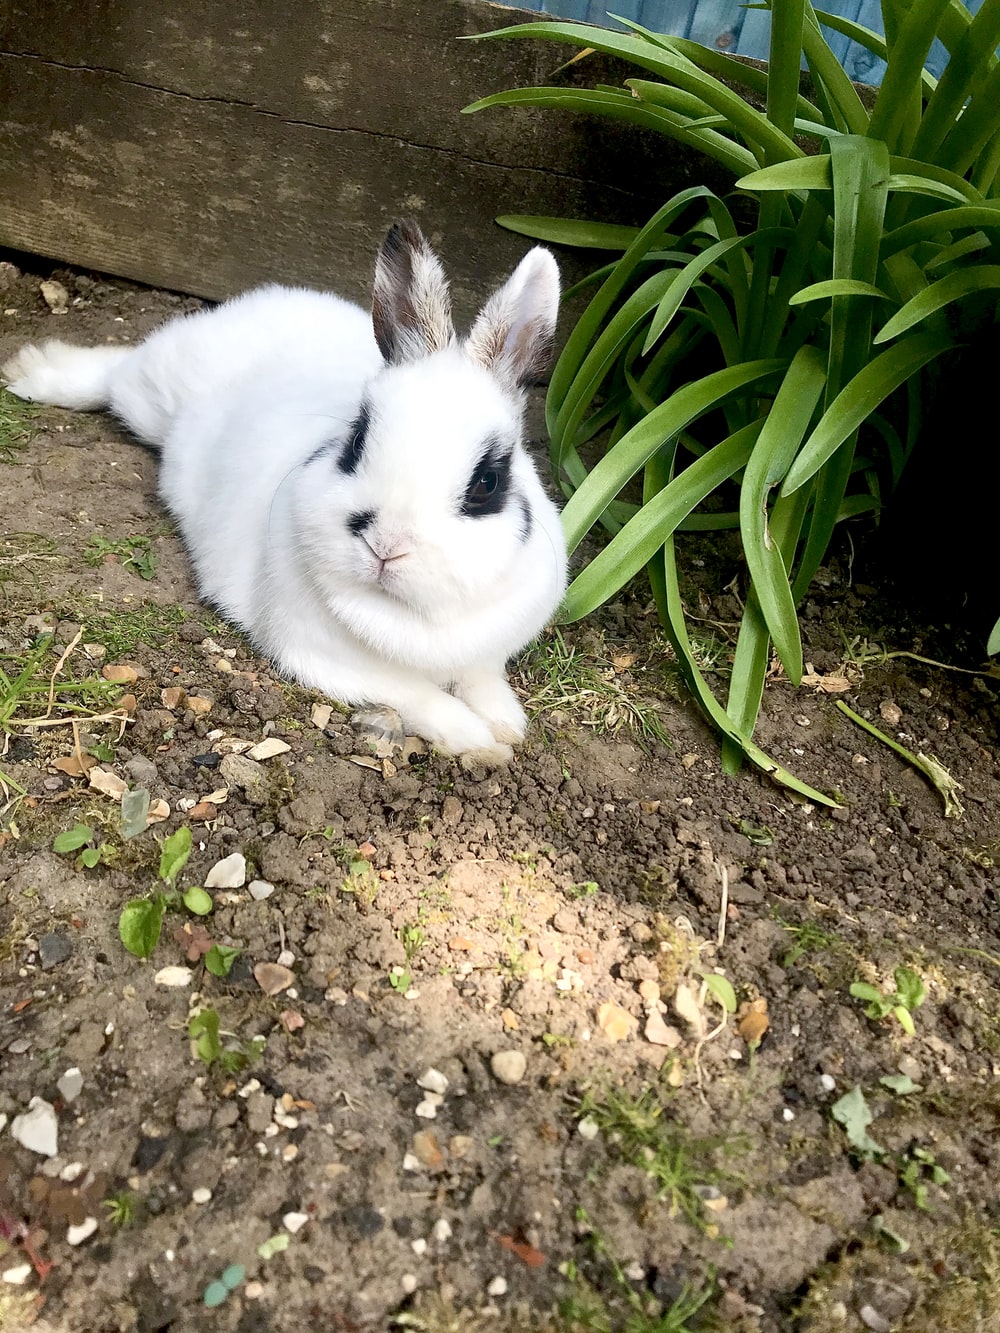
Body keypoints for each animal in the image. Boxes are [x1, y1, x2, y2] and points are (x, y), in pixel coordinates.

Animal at [2, 220, 567, 765]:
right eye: (355, 441)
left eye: (487, 482)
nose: (385, 546)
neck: (410, 618)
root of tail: (260, 302)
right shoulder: (331, 661)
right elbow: (420, 698)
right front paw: (479, 741)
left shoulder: (485, 655)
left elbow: (483, 682)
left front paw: (507, 725)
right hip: (152, 392)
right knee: (114, 374)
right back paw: (31, 371)